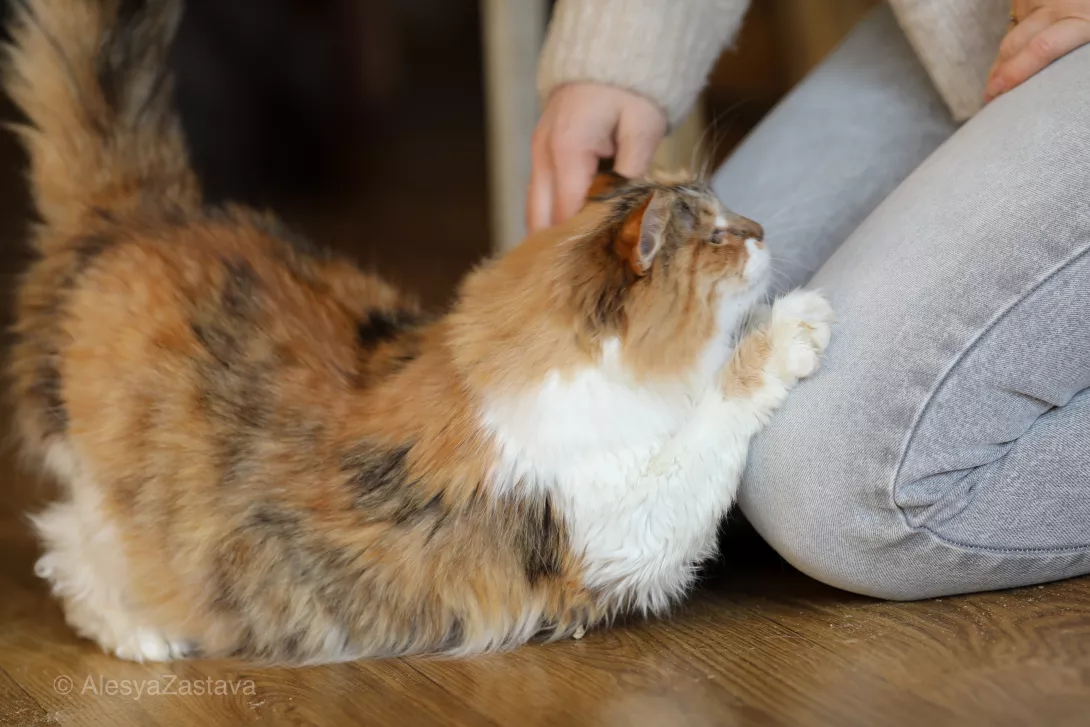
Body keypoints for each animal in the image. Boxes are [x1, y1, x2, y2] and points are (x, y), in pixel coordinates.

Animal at [4, 0, 834, 664]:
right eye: (718, 236)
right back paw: (145, 635)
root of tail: (145, 214)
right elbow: (712, 417)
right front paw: (794, 323)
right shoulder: (623, 528)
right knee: (64, 548)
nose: (761, 229)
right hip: (115, 502)